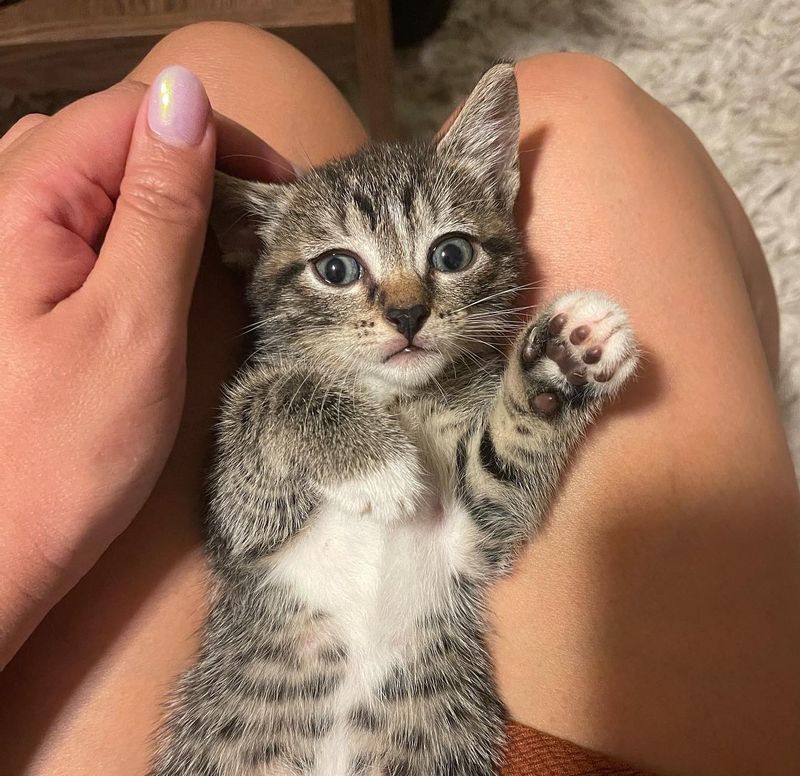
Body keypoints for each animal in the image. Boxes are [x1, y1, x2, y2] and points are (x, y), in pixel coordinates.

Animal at [150, 62, 636, 776]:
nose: (408, 314)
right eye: (336, 268)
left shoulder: (472, 537)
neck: (396, 401)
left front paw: (564, 363)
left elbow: (498, 479)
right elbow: (273, 397)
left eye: (452, 254)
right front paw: (375, 464)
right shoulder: (236, 528)